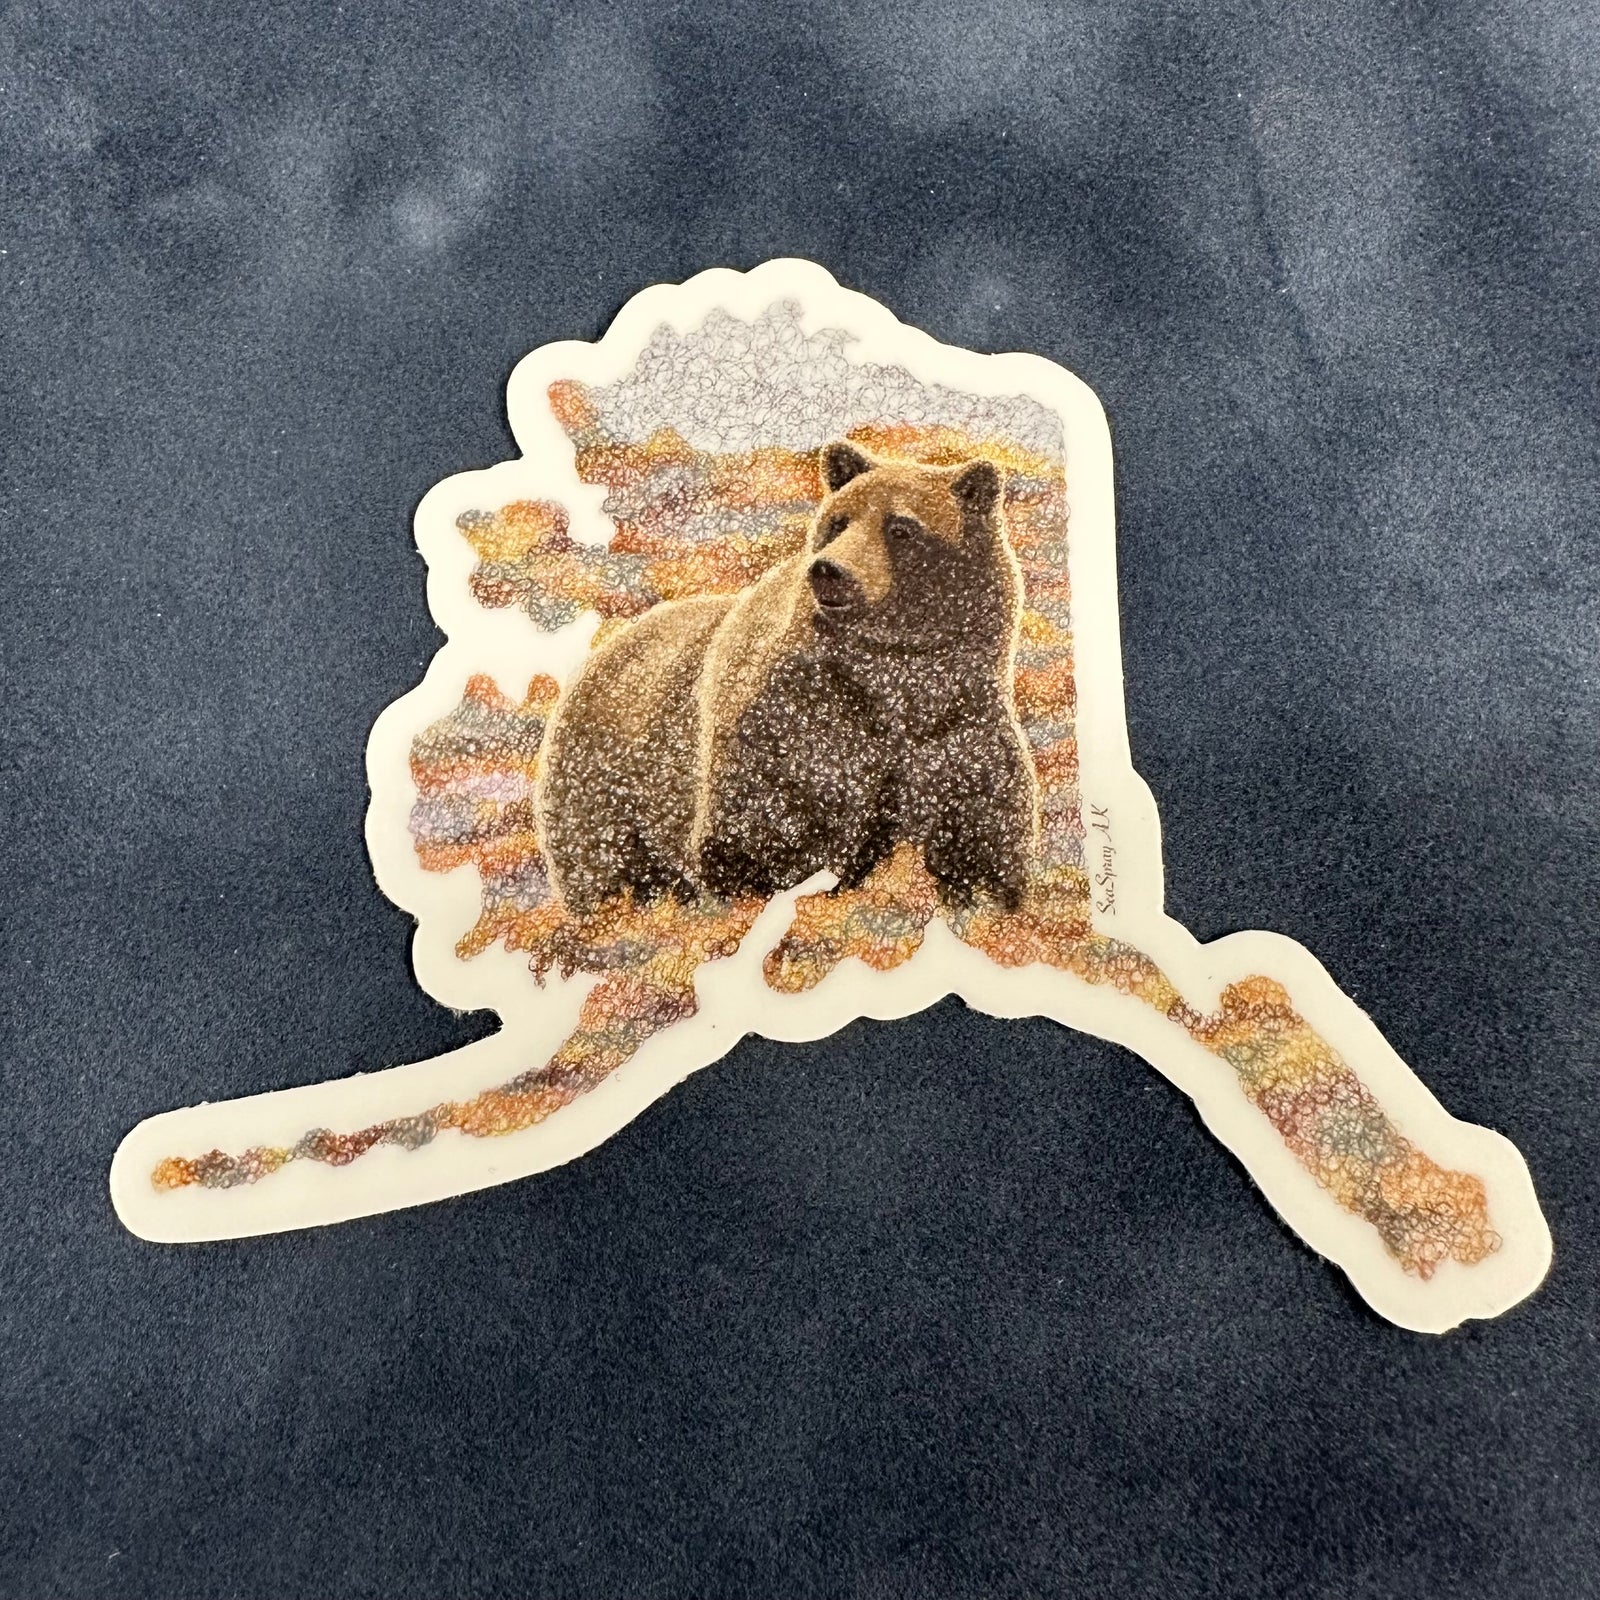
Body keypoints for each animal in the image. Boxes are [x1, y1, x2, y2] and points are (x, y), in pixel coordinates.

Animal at [536, 441, 1039, 918]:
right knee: (599, 867)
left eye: (901, 528)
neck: (893, 677)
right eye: (838, 522)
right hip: (600, 787)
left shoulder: (957, 732)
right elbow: (760, 837)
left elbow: (982, 843)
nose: (831, 570)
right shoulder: (794, 732)